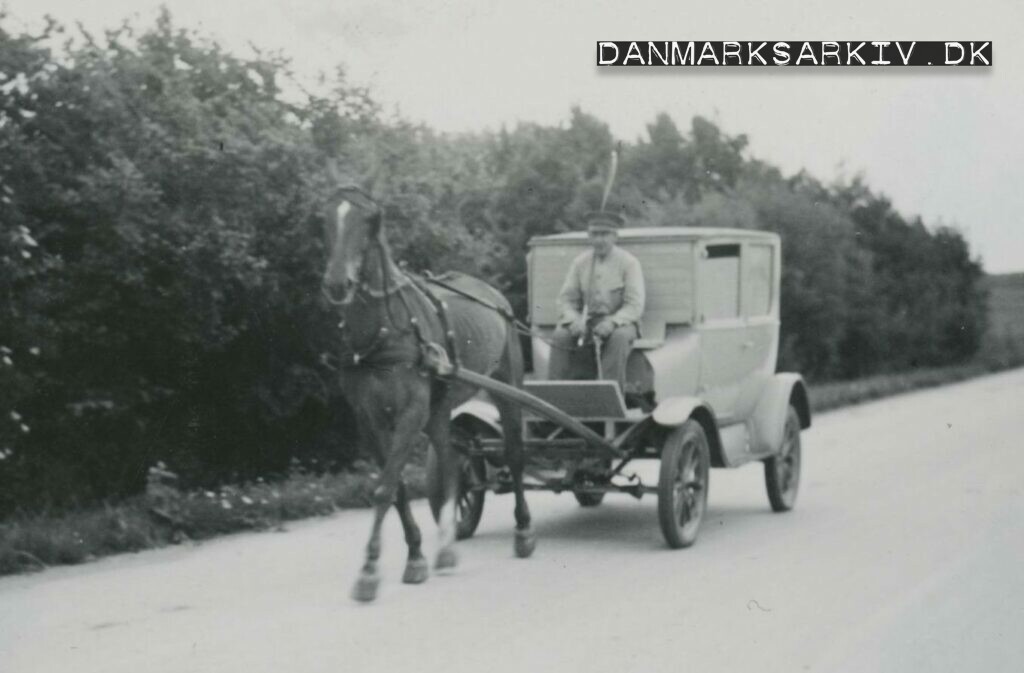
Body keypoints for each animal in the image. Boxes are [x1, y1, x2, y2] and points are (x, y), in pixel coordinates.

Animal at [321, 185, 536, 602]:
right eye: (325, 219)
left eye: (369, 221)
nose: (338, 284)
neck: (385, 333)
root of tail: (494, 295)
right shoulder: (369, 419)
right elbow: (397, 487)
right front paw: (416, 554)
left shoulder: (411, 411)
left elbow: (385, 488)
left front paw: (369, 570)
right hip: (441, 407)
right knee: (451, 464)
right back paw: (447, 546)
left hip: (508, 387)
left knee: (516, 455)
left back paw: (523, 531)